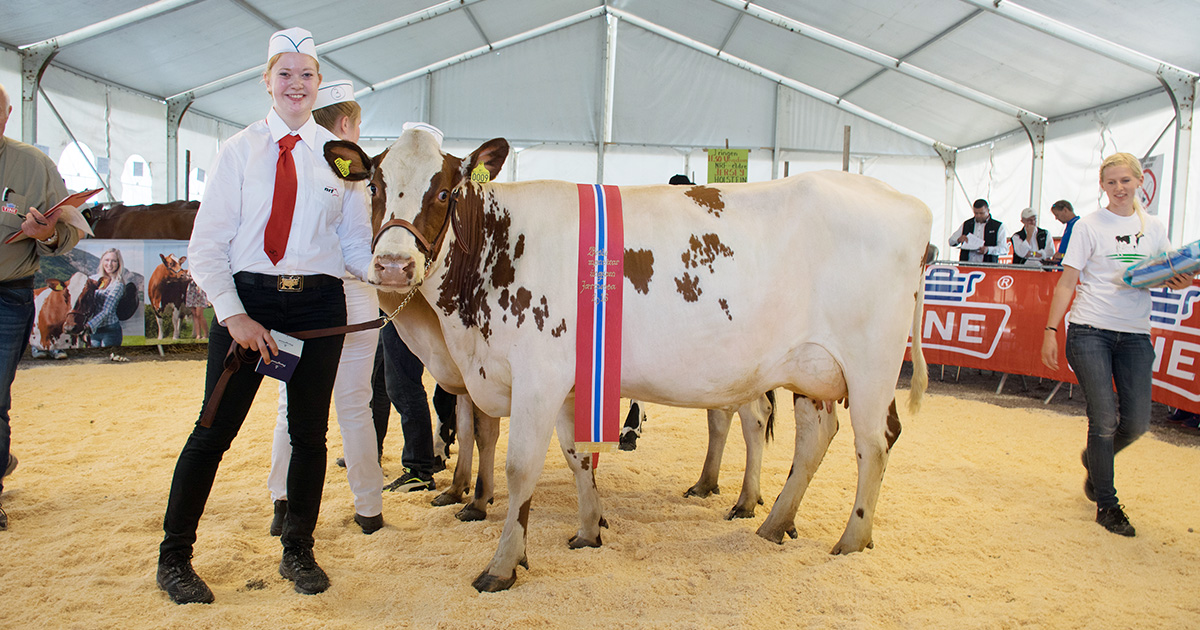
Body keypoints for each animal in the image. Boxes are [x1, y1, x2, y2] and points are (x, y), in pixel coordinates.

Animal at [335, 128, 930, 592]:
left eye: (443, 191)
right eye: (375, 185)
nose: (392, 265)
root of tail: (907, 203)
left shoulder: (537, 376)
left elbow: (519, 467)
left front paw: (502, 565)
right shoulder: (564, 381)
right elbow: (577, 455)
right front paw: (588, 530)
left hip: (870, 367)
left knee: (872, 444)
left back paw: (851, 539)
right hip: (813, 370)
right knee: (815, 435)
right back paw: (773, 523)